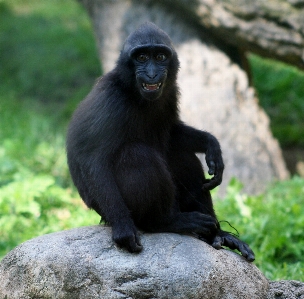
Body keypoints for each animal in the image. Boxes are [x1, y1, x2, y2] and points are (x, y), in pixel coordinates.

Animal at [66, 22, 254, 262]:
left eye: (160, 56)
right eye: (142, 57)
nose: (152, 73)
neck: (133, 93)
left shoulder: (171, 94)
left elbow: (173, 134)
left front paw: (212, 146)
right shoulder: (109, 100)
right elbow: (93, 160)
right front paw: (124, 229)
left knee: (181, 154)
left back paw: (217, 234)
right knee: (137, 155)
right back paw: (165, 221)